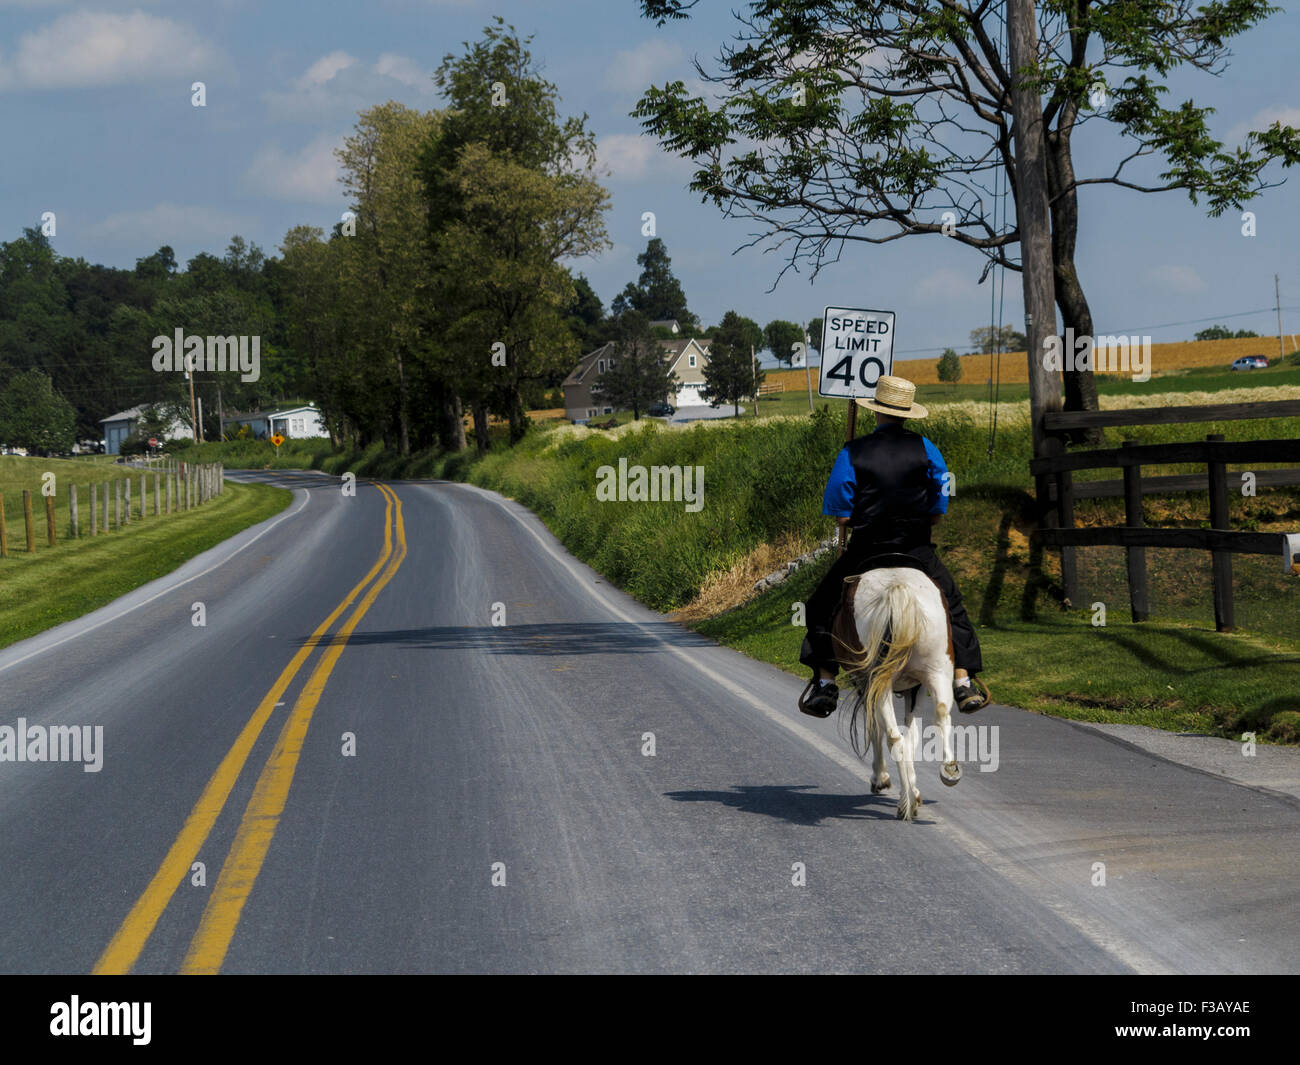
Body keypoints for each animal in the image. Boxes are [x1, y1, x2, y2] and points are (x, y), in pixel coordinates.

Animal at [826, 559, 961, 827]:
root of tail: (898, 588)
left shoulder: (866, 686)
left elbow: (877, 729)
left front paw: (882, 779)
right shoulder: (915, 688)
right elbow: (913, 736)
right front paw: (914, 791)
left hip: (879, 683)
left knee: (892, 736)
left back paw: (904, 803)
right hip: (938, 670)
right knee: (940, 715)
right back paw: (947, 772)